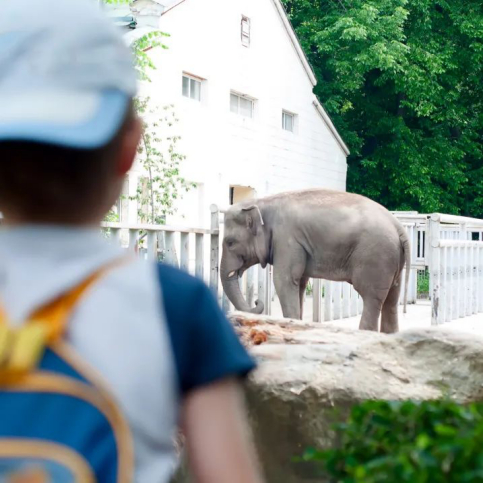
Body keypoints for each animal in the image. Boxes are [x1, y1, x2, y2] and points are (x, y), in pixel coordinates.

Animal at [220, 189, 410, 333]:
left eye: (230, 242)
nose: (256, 302)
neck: (261, 203)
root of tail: (399, 228)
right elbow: (299, 283)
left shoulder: (286, 239)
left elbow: (284, 281)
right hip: (393, 262)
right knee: (391, 301)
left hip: (376, 257)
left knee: (371, 298)